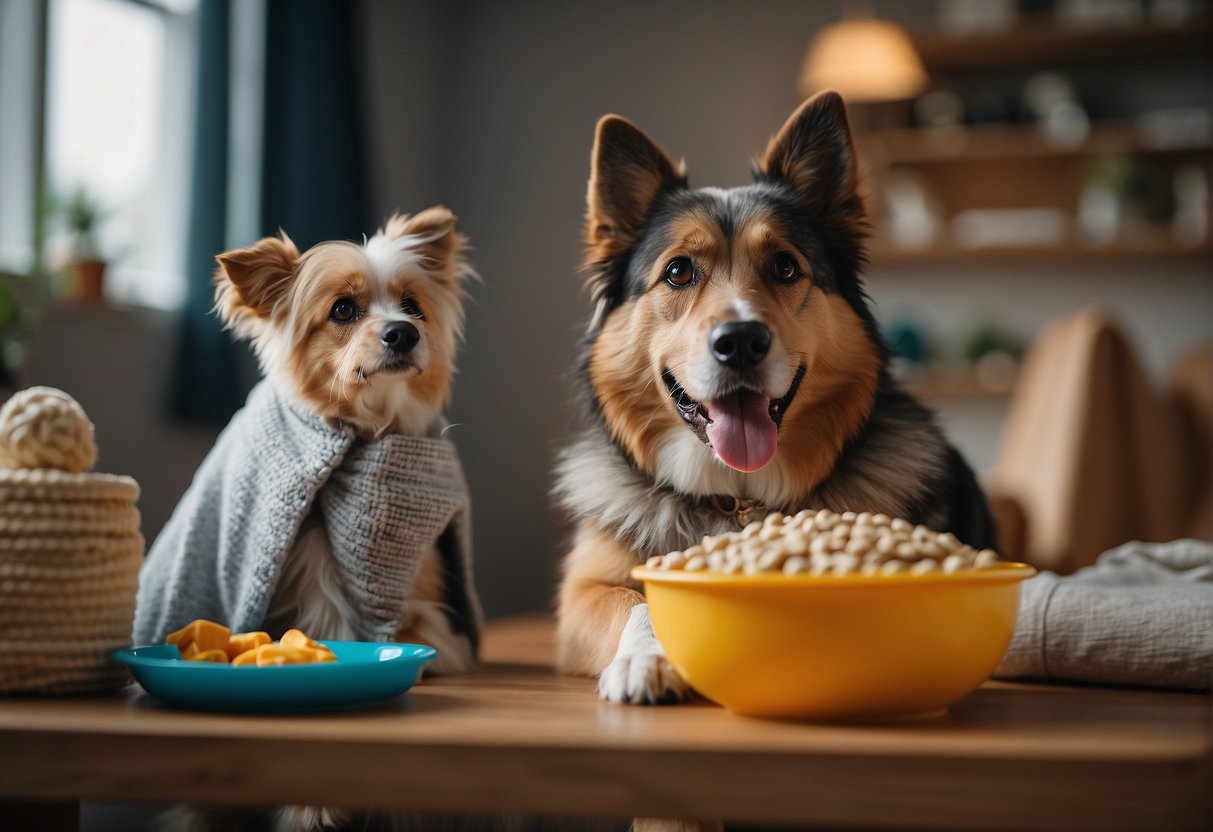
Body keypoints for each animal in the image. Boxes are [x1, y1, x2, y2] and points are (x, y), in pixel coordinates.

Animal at [555, 92, 994, 717]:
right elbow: (634, 600)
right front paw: (645, 658)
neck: (737, 499)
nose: (740, 341)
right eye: (678, 271)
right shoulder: (580, 594)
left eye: (786, 266)